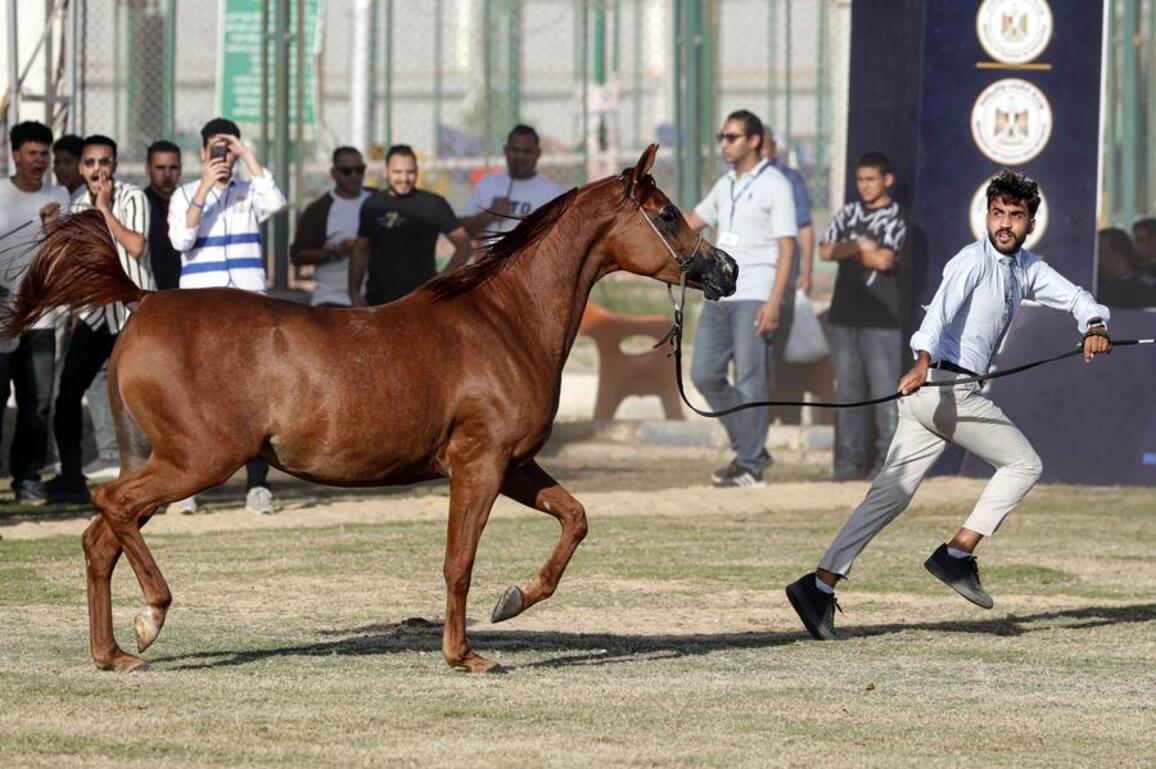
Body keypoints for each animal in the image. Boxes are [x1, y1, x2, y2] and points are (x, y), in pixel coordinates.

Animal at [1, 145, 737, 673]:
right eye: (667, 213)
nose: (724, 269)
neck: (502, 320)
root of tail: (145, 300)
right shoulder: (480, 464)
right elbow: (458, 560)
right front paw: (467, 654)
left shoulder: (516, 464)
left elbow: (575, 519)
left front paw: (512, 601)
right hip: (198, 460)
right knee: (113, 508)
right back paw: (150, 618)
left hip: (168, 460)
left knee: (102, 535)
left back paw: (113, 653)